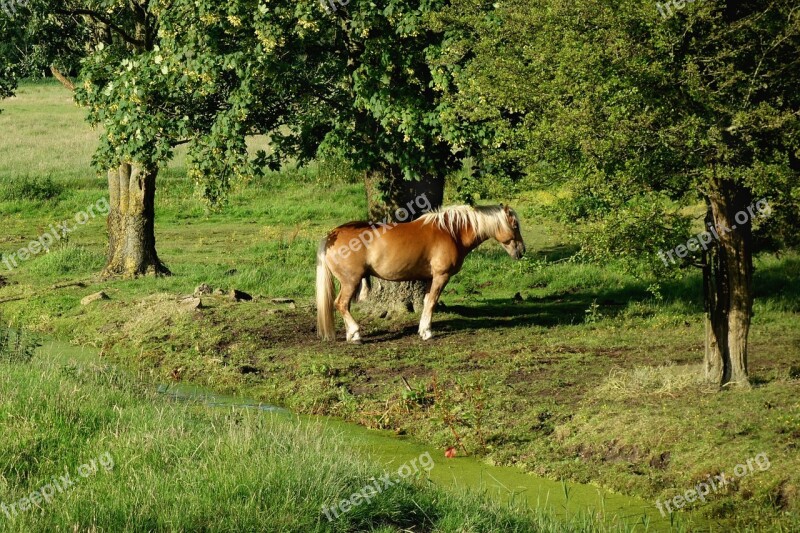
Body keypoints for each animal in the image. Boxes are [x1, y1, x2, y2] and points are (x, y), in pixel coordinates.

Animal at [316, 204, 528, 340]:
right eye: (515, 225)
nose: (521, 250)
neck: (451, 232)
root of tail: (332, 235)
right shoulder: (441, 276)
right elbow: (432, 302)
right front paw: (427, 332)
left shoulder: (429, 278)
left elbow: (426, 302)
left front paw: (422, 329)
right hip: (350, 281)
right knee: (341, 304)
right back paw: (356, 333)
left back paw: (350, 334)